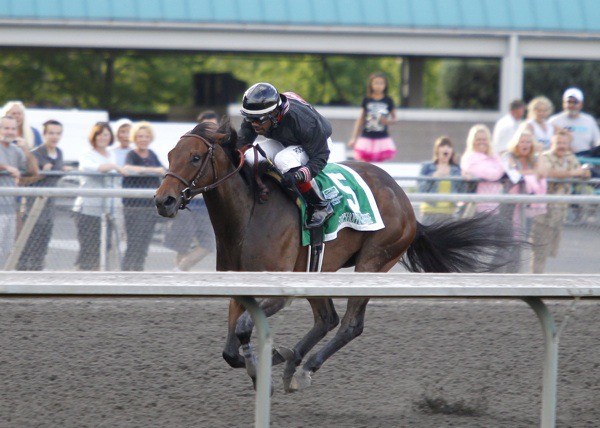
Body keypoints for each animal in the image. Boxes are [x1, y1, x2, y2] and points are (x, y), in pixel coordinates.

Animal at [154, 118, 510, 392]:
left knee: (350, 325)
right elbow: (230, 350)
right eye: (170, 155)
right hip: (318, 265)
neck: (251, 214)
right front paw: (264, 365)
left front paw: (264, 369)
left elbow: (242, 329)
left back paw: (304, 367)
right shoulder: (240, 286)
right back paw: (290, 362)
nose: (163, 201)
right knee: (327, 318)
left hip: (373, 262)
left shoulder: (279, 290)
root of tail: (405, 201)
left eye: (196, 157)